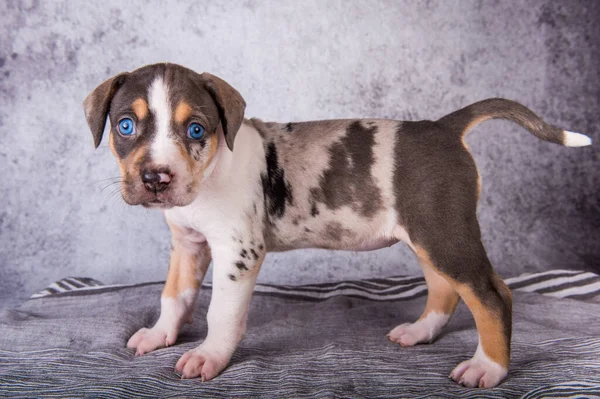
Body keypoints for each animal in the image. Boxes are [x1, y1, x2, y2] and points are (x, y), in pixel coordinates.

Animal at [82, 63, 592, 390]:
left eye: (195, 130)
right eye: (125, 126)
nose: (156, 178)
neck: (209, 176)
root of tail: (444, 127)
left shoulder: (237, 252)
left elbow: (220, 313)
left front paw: (209, 356)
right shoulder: (188, 245)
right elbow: (174, 297)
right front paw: (160, 335)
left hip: (445, 232)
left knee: (491, 295)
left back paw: (488, 368)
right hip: (427, 235)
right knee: (445, 288)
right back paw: (420, 333)